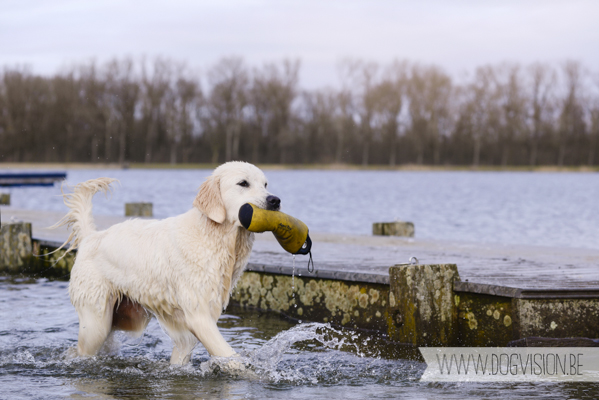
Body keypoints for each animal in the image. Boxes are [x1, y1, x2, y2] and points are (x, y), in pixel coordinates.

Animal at [55, 161, 280, 364]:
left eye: (265, 184)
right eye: (243, 183)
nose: (275, 200)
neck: (213, 237)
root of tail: (90, 236)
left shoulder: (192, 328)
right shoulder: (198, 314)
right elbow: (229, 356)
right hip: (96, 322)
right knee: (81, 349)